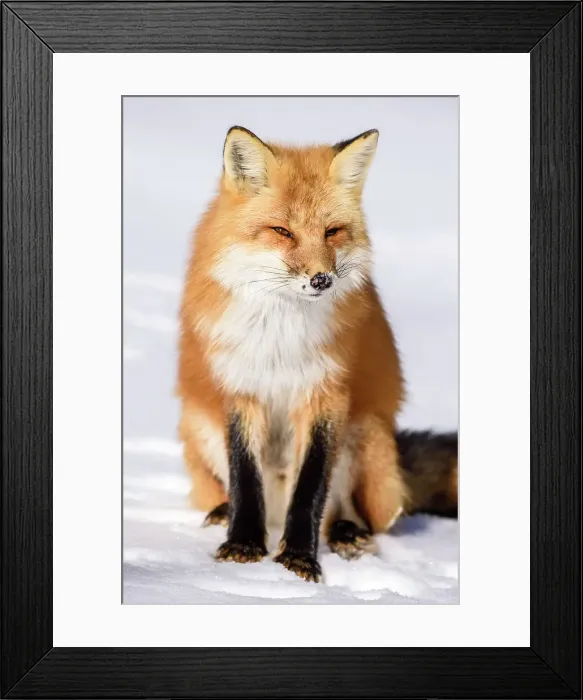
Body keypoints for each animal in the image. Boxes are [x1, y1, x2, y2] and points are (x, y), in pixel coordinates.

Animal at [177, 125, 457, 582]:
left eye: (332, 231)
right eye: (282, 231)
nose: (322, 279)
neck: (280, 337)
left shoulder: (326, 393)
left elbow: (310, 487)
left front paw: (298, 559)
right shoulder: (242, 388)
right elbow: (245, 479)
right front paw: (243, 547)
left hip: (369, 438)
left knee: (352, 513)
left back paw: (347, 533)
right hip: (196, 421)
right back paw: (221, 513)